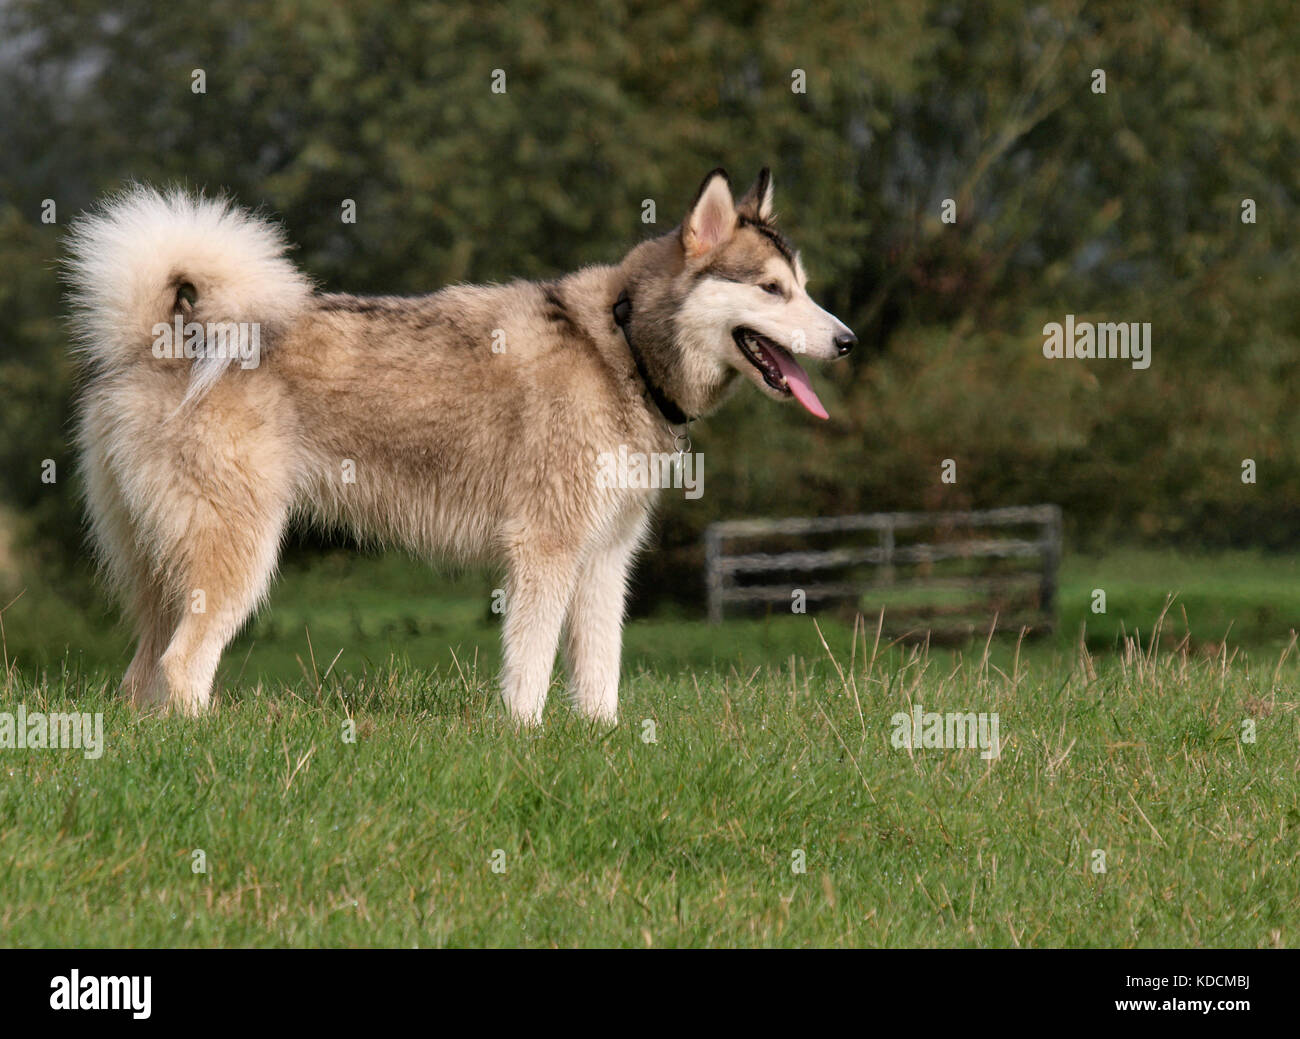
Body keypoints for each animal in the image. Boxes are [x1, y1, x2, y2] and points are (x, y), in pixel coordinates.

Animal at [65, 169, 852, 723]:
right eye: (772, 289)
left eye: (804, 286)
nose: (847, 340)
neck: (621, 349)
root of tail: (155, 339)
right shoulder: (545, 549)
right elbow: (530, 669)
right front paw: (525, 736)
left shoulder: (605, 558)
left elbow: (600, 673)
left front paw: (602, 739)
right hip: (237, 556)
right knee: (181, 667)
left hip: (163, 571)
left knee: (140, 675)